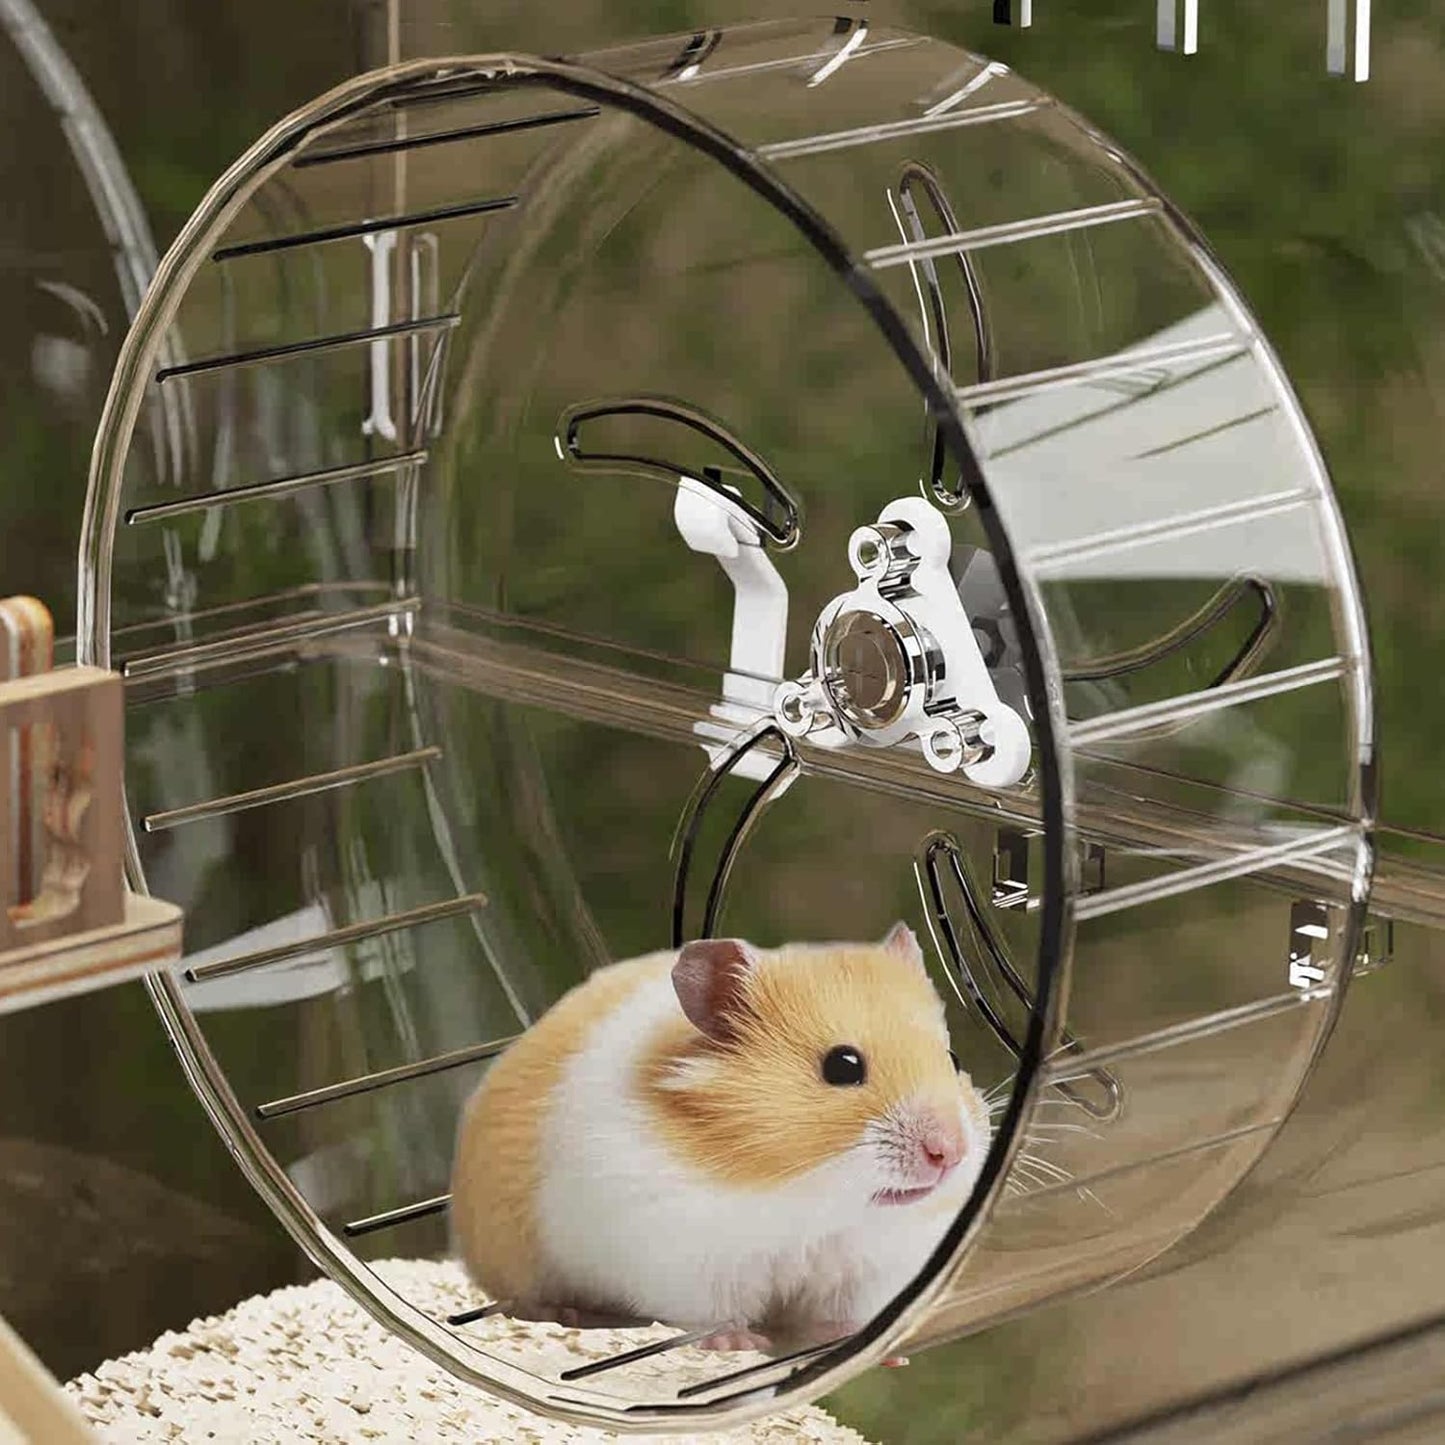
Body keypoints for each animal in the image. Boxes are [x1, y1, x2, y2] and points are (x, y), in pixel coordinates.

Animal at [450, 923, 991, 1355]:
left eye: (953, 1059)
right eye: (842, 1066)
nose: (950, 1153)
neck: (814, 1201)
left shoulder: (866, 1268)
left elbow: (837, 1316)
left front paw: (871, 1347)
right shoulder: (685, 1256)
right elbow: (713, 1313)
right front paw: (739, 1342)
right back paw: (566, 1314)